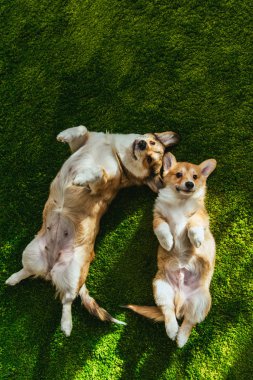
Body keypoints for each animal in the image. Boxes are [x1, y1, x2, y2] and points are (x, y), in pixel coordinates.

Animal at [6, 125, 180, 336]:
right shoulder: (81, 144)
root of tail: (51, 266)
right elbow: (81, 129)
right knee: (29, 271)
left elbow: (97, 171)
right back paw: (13, 278)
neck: (116, 152)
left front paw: (80, 178)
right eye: (151, 143)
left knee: (67, 299)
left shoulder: (101, 184)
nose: (142, 143)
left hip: (73, 271)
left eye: (149, 159)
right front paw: (63, 135)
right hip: (31, 252)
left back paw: (66, 325)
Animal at [127, 152, 216, 348]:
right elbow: (161, 228)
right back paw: (172, 330)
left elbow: (192, 224)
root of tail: (181, 302)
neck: (180, 202)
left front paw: (196, 239)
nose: (189, 184)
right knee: (168, 312)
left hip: (201, 301)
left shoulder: (200, 215)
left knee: (189, 322)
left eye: (195, 177)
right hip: (161, 289)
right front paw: (167, 242)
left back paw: (181, 339)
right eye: (178, 175)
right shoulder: (158, 216)